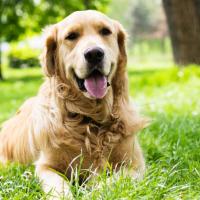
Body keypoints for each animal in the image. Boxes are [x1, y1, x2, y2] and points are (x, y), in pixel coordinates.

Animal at [0, 10, 147, 198]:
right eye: (71, 36)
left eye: (105, 31)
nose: (94, 54)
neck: (91, 118)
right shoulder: (46, 166)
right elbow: (58, 187)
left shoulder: (135, 165)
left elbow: (111, 182)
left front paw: (93, 191)